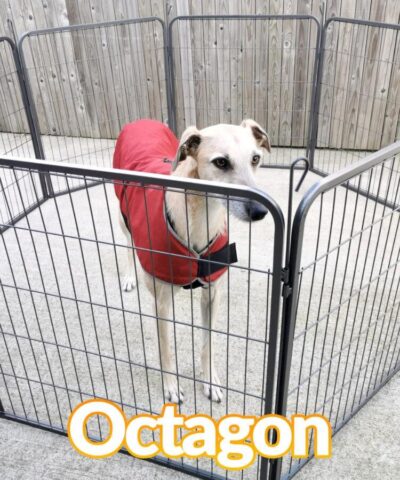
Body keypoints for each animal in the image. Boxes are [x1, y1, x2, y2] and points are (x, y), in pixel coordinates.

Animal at [113, 118, 272, 404]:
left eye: (255, 158)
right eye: (221, 162)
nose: (260, 211)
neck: (199, 218)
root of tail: (141, 121)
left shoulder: (213, 295)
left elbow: (208, 343)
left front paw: (210, 381)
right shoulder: (162, 302)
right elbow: (166, 349)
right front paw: (171, 387)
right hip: (123, 214)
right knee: (129, 243)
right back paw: (130, 276)